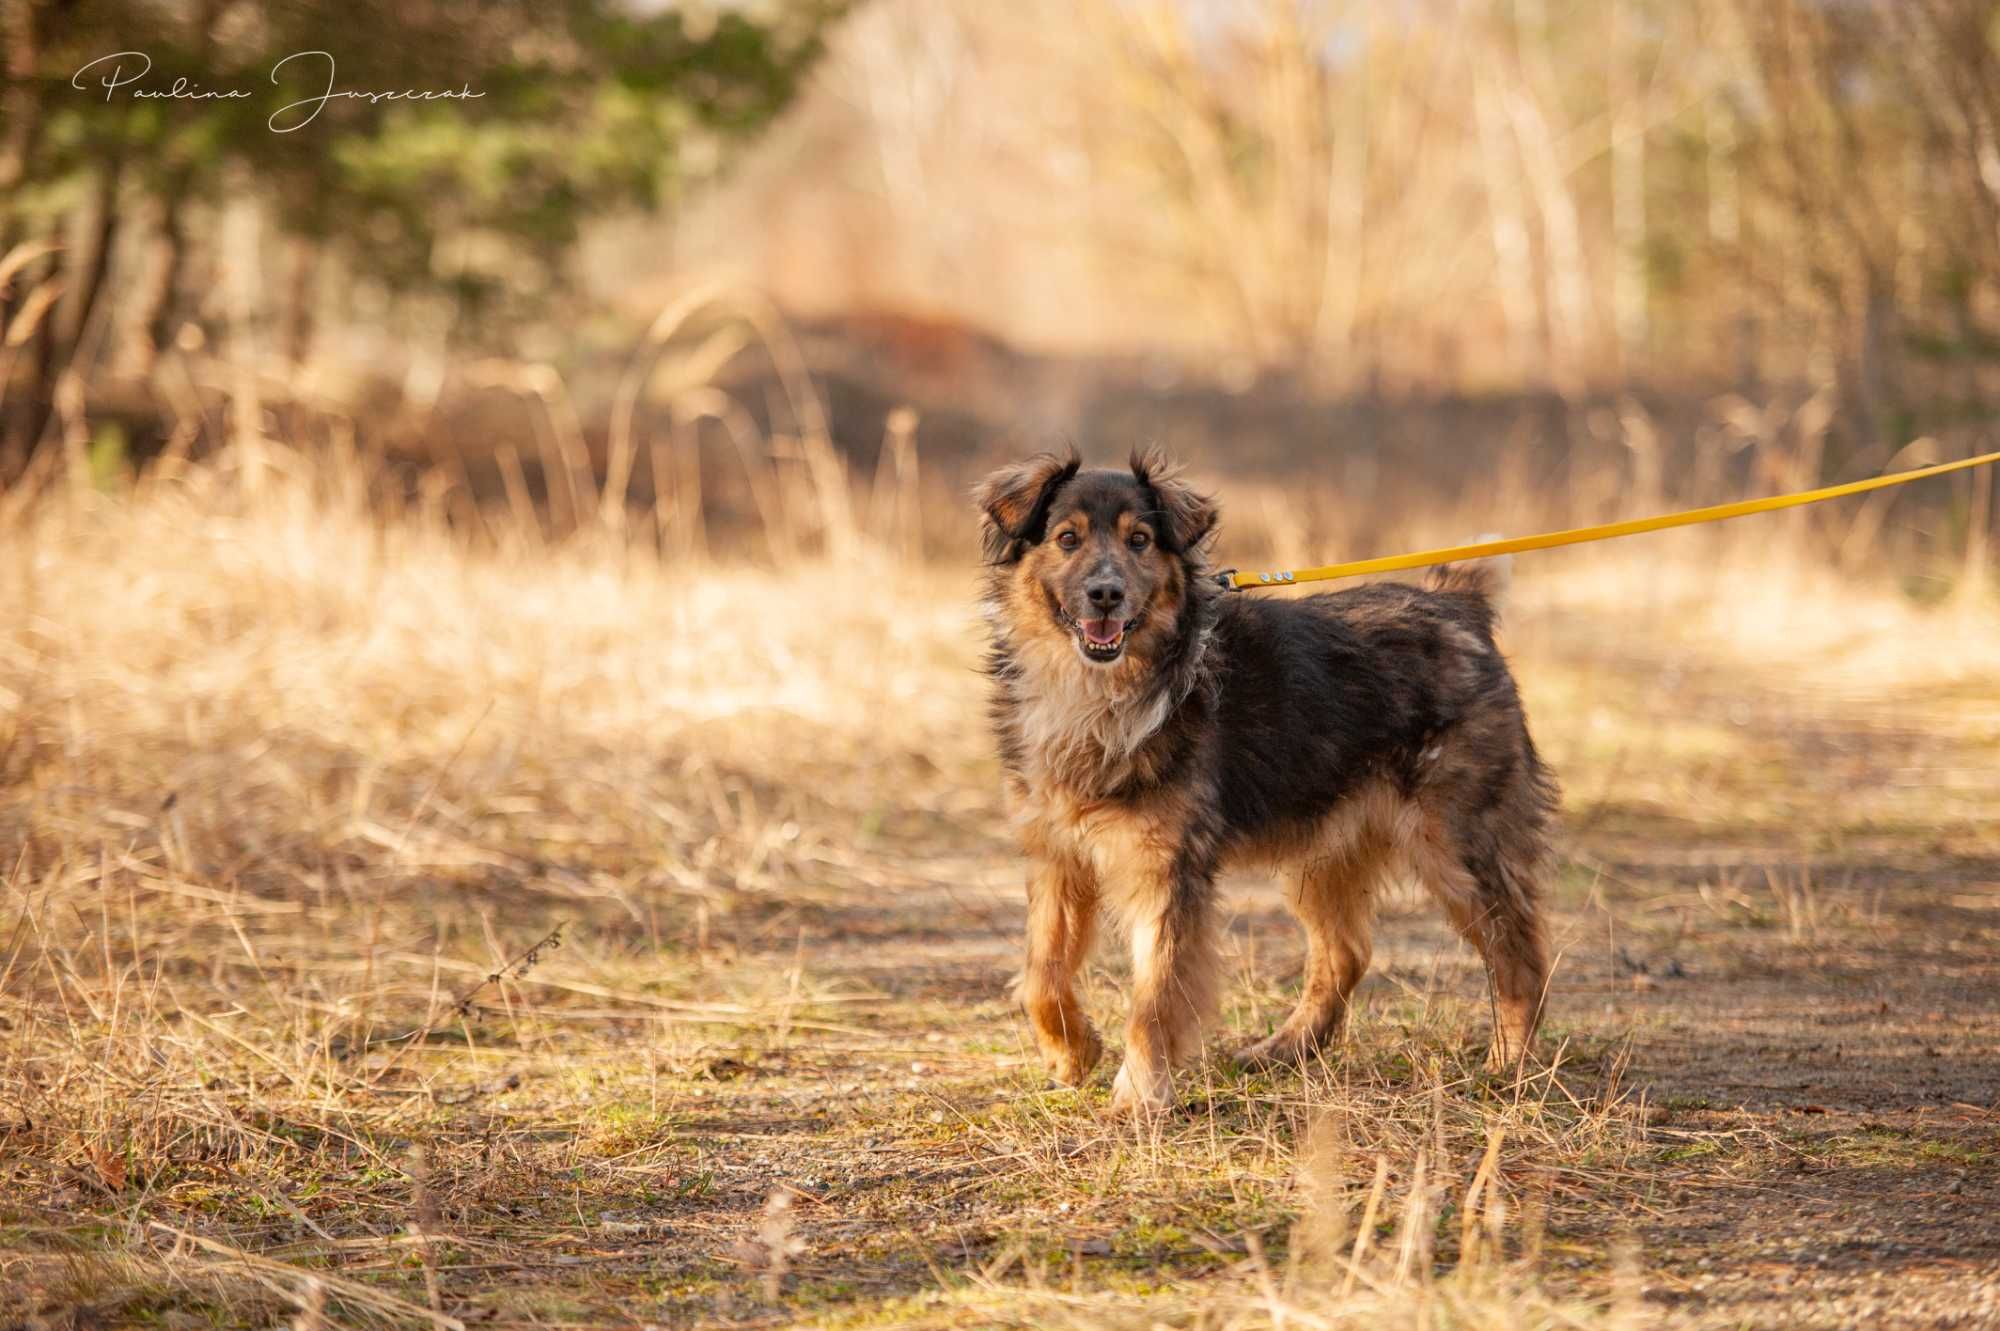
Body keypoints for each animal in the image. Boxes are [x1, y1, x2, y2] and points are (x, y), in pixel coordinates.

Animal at [976, 443, 1552, 1111]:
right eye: (1067, 539)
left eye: (1139, 540)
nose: (1106, 593)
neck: (1096, 691)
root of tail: (1458, 605)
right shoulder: (1057, 854)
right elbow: (1041, 971)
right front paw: (1072, 1053)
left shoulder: (1167, 868)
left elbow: (1156, 993)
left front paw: (1140, 1094)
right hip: (1322, 849)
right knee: (1346, 954)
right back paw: (1284, 1049)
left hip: (1456, 842)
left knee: (1520, 949)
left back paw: (1509, 1066)